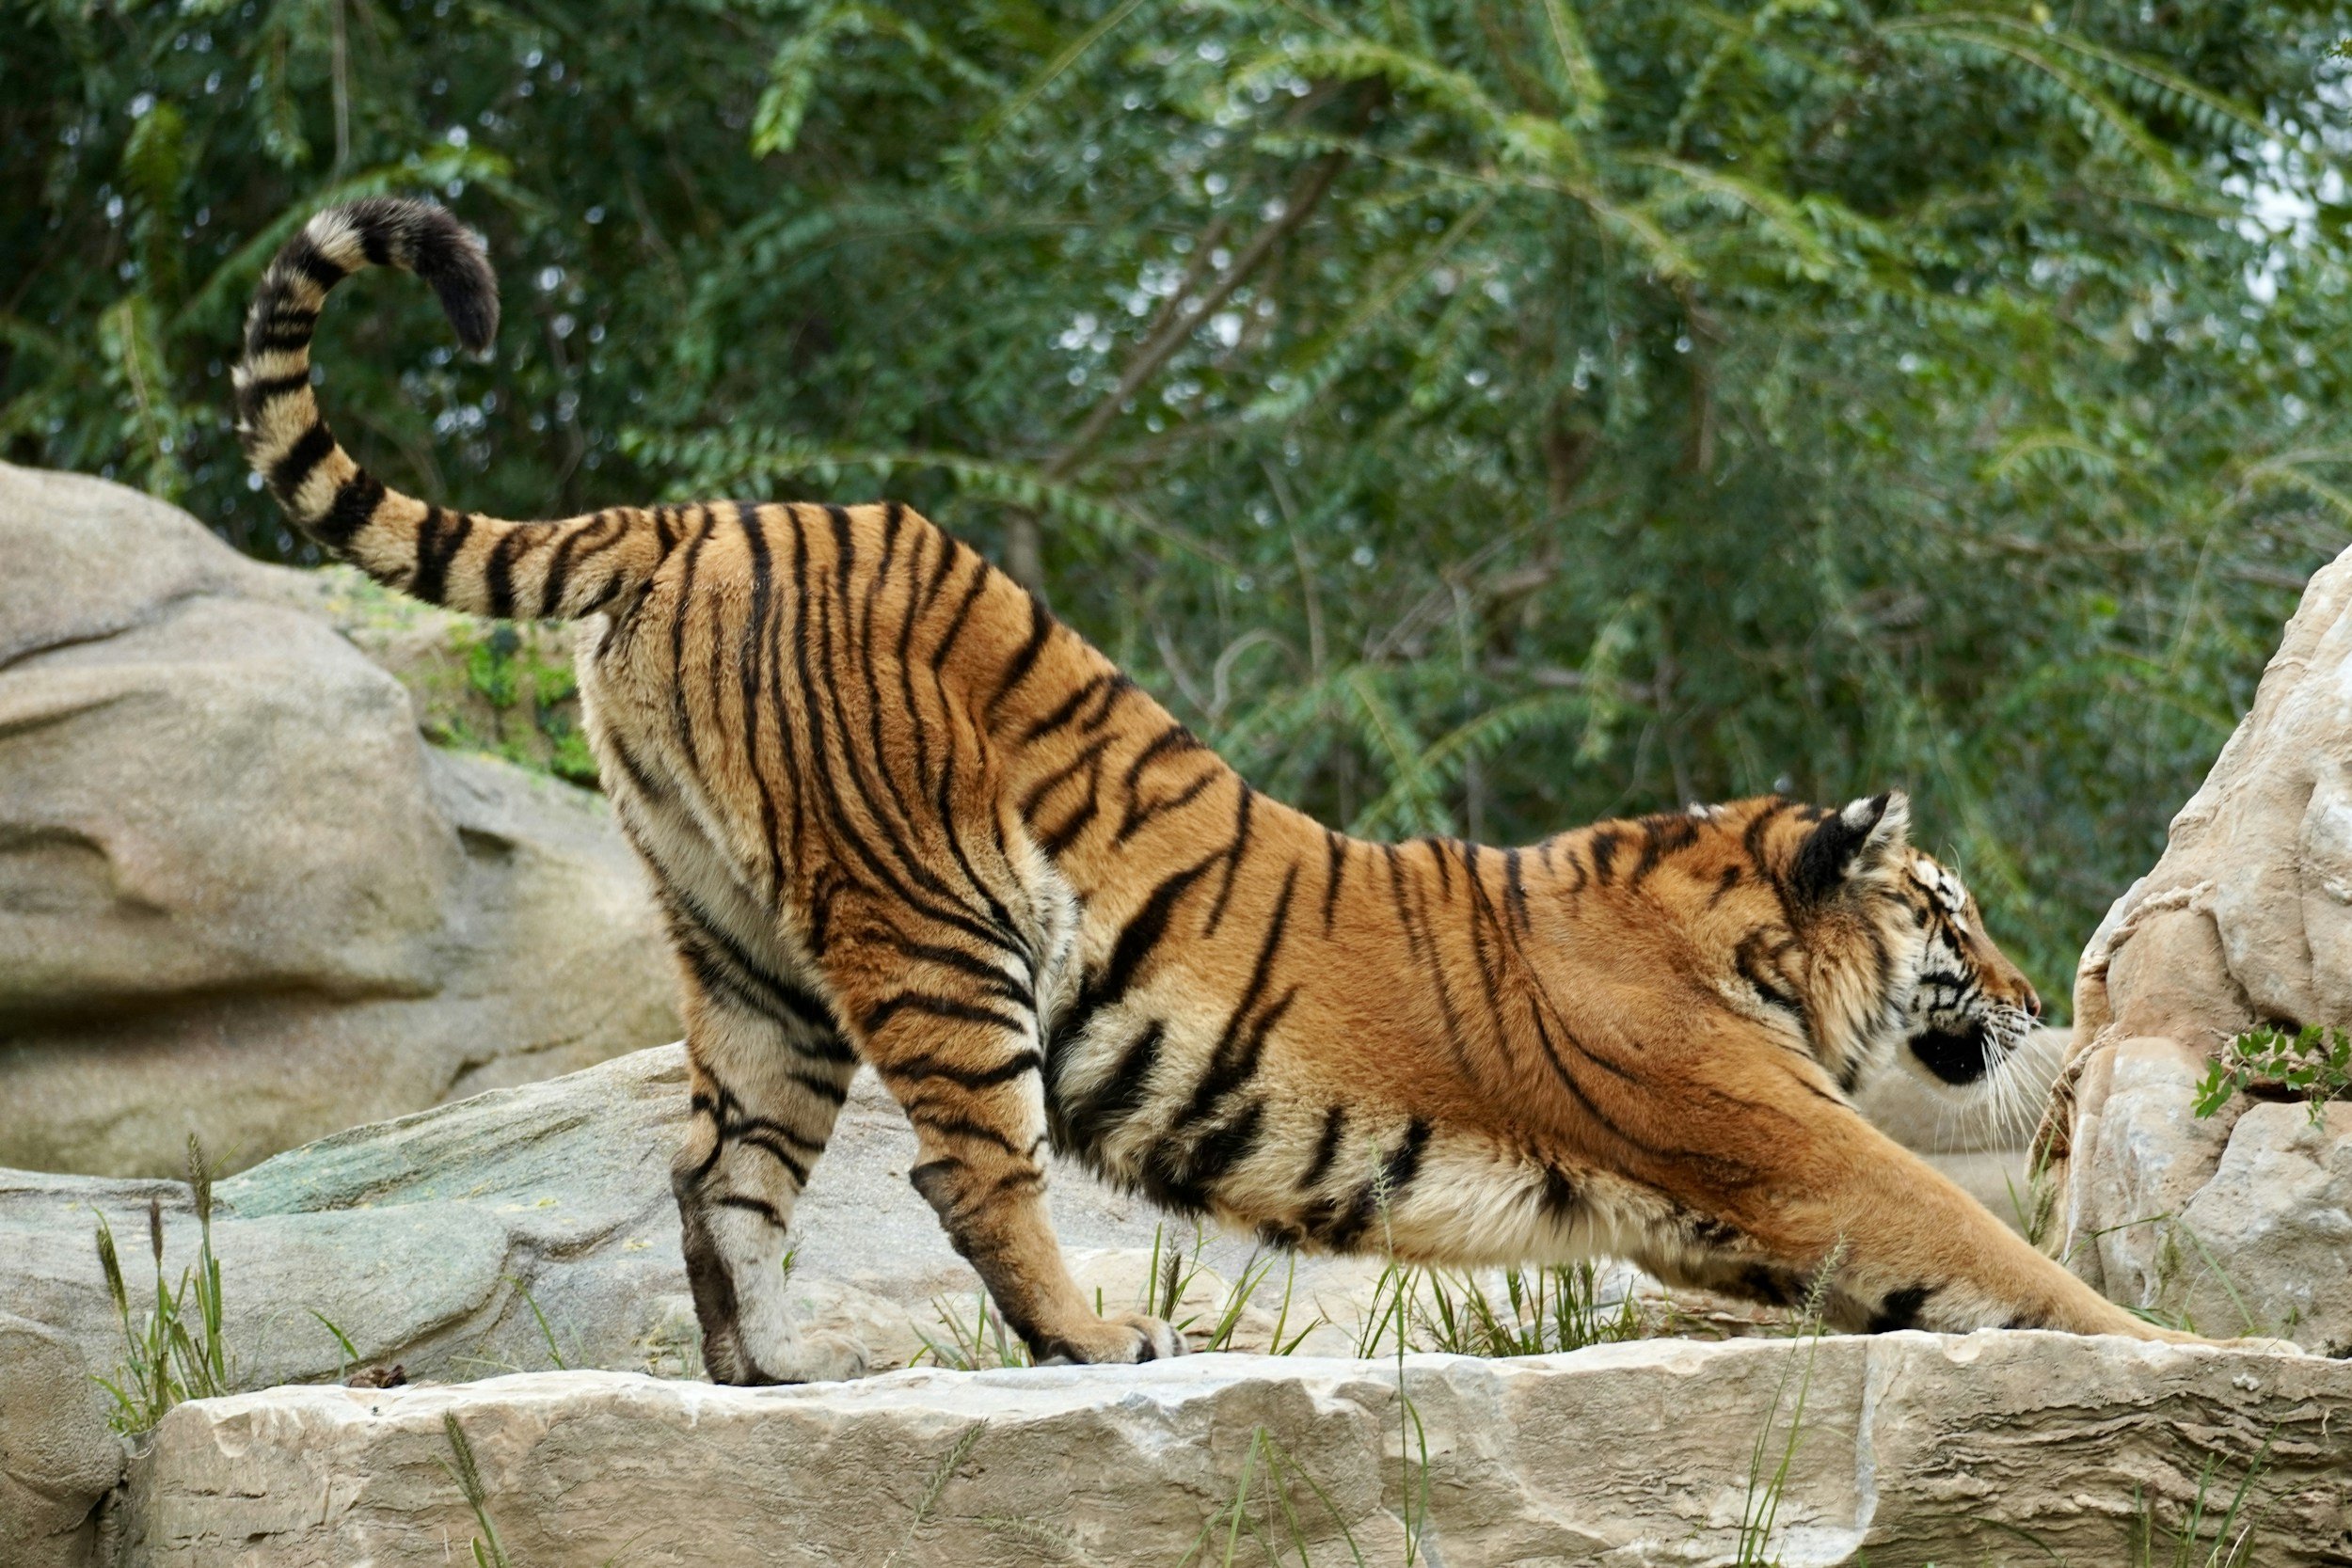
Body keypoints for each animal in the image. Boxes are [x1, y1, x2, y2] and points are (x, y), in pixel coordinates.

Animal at [233, 197, 2208, 1382]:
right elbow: (2003, 1250)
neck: (1733, 930)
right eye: (1951, 912)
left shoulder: (1725, 1215)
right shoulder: (1797, 1155)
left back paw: (772, 1378)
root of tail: (691, 513)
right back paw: (1095, 1345)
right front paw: (2189, 1352)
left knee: (720, 1168)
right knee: (968, 1172)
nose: (2029, 996)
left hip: (746, 949)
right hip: (936, 924)